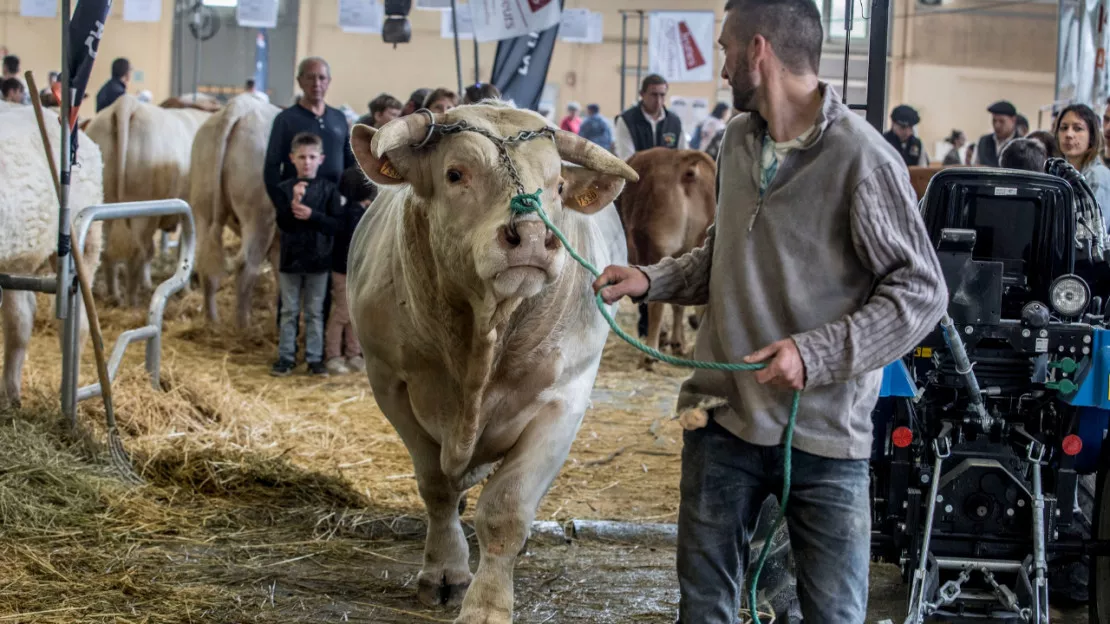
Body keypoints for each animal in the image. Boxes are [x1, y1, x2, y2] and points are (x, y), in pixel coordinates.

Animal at [83, 93, 210, 304]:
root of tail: (126, 104)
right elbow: (185, 251)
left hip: (104, 206)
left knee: (106, 250)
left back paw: (114, 294)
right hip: (144, 211)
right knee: (138, 252)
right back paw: (131, 300)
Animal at [189, 93, 281, 326]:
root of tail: (238, 107)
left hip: (202, 209)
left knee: (205, 263)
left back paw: (212, 322)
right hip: (259, 217)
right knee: (246, 267)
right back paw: (243, 326)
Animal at [346, 104, 643, 617]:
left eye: (558, 186)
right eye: (455, 173)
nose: (532, 236)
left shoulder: (564, 400)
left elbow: (506, 509)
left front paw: (487, 604)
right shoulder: (390, 386)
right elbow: (437, 487)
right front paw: (445, 570)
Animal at [612, 146, 714, 366]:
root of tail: (686, 164)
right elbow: (678, 304)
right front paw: (678, 342)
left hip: (655, 247)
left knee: (656, 304)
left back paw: (649, 353)